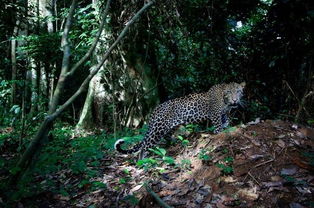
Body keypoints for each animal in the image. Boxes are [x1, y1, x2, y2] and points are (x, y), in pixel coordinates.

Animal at [114, 81, 245, 158]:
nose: (235, 100)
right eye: (229, 92)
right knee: (145, 146)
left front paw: (227, 127)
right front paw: (220, 132)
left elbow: (226, 121)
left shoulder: (224, 114)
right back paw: (142, 162)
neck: (225, 101)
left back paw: (174, 142)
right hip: (158, 129)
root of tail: (155, 110)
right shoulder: (215, 114)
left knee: (165, 137)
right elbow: (218, 126)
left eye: (238, 91)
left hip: (170, 126)